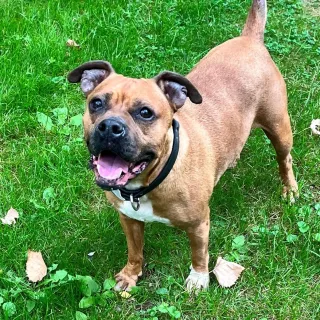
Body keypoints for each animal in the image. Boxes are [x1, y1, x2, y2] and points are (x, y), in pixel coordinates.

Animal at [67, 0, 298, 292]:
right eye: (96, 103)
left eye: (145, 112)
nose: (110, 127)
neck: (148, 182)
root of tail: (250, 39)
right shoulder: (128, 219)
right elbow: (135, 250)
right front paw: (131, 274)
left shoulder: (199, 224)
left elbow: (199, 253)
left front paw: (198, 279)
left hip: (279, 128)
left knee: (285, 160)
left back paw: (289, 189)